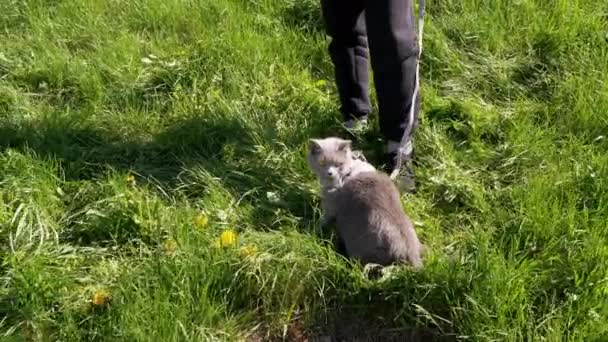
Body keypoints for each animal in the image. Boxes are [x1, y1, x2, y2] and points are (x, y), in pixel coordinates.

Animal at [308, 136, 422, 268]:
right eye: (322, 163)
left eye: (338, 164)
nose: (329, 173)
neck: (349, 171)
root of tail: (410, 252)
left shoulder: (330, 206)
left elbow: (323, 221)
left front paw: (312, 229)